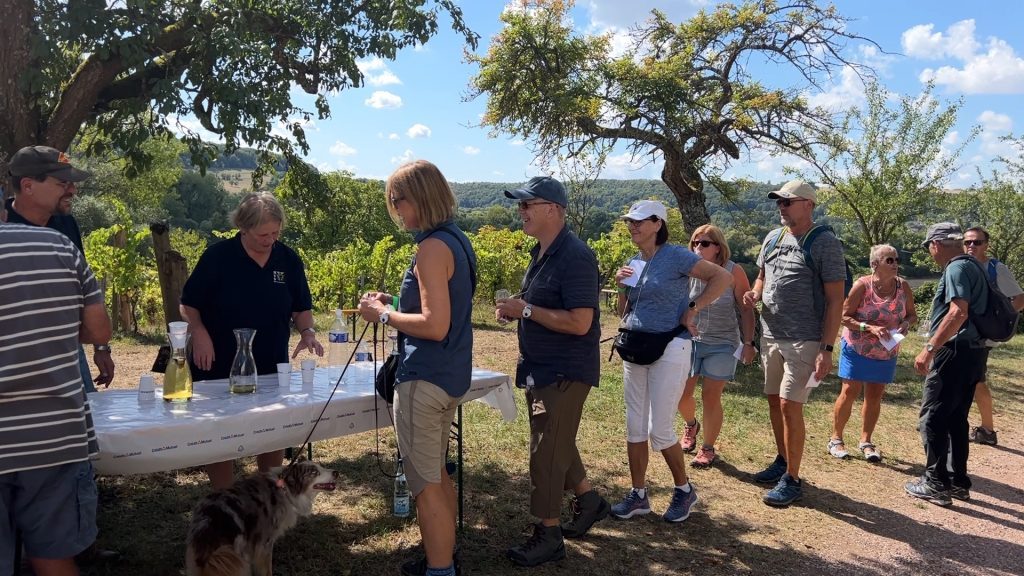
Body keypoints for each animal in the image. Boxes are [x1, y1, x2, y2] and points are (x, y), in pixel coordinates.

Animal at [186, 461, 337, 573]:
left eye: (321, 466)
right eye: (314, 472)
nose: (336, 472)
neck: (285, 489)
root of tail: (207, 520)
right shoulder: (264, 545)